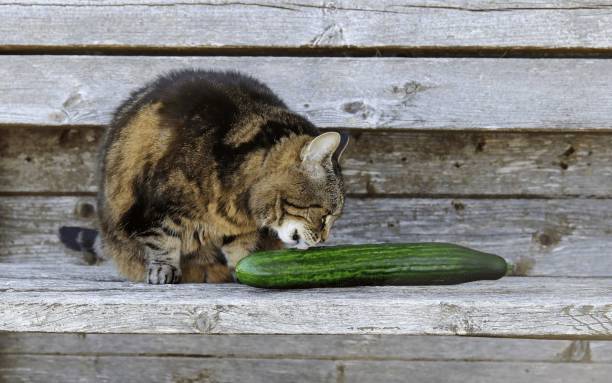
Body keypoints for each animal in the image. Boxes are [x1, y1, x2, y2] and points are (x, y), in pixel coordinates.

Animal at [62, 70, 352, 284]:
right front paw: (164, 269)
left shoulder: (240, 228)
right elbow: (162, 240)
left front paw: (242, 266)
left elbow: (241, 248)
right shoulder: (152, 209)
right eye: (325, 215)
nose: (324, 240)